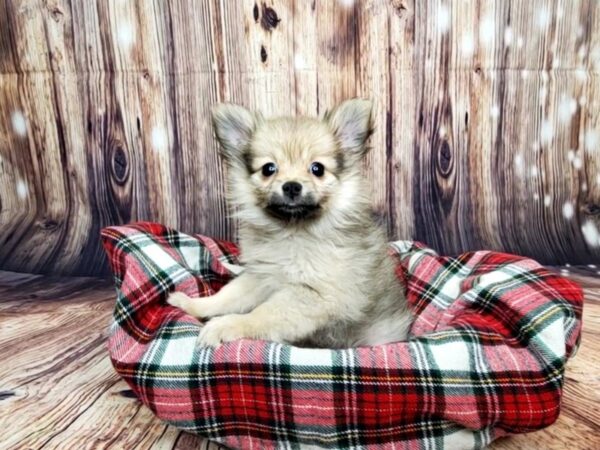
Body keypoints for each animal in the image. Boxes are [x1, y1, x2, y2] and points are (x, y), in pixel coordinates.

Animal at [169, 99, 412, 348]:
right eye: (268, 168)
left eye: (317, 168)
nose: (292, 186)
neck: (291, 232)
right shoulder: (260, 276)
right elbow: (227, 296)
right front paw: (193, 305)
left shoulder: (313, 295)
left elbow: (261, 314)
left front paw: (226, 325)